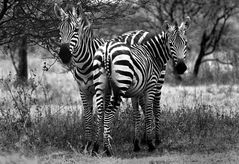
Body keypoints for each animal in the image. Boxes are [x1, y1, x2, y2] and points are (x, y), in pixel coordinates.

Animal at [53, 2, 164, 154]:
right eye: (59, 30)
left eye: (76, 29)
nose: (64, 55)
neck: (84, 65)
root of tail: (142, 31)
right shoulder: (83, 90)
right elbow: (88, 116)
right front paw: (88, 144)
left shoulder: (105, 90)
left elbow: (103, 113)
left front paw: (100, 143)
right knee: (142, 106)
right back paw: (142, 140)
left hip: (157, 81)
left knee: (155, 107)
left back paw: (156, 140)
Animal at [92, 18, 190, 156]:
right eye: (171, 44)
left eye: (185, 43)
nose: (181, 68)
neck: (152, 54)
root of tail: (106, 49)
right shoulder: (150, 86)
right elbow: (148, 113)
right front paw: (150, 144)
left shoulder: (136, 91)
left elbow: (136, 115)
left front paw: (136, 144)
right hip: (121, 85)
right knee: (108, 112)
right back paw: (107, 149)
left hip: (100, 86)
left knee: (100, 112)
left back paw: (95, 147)